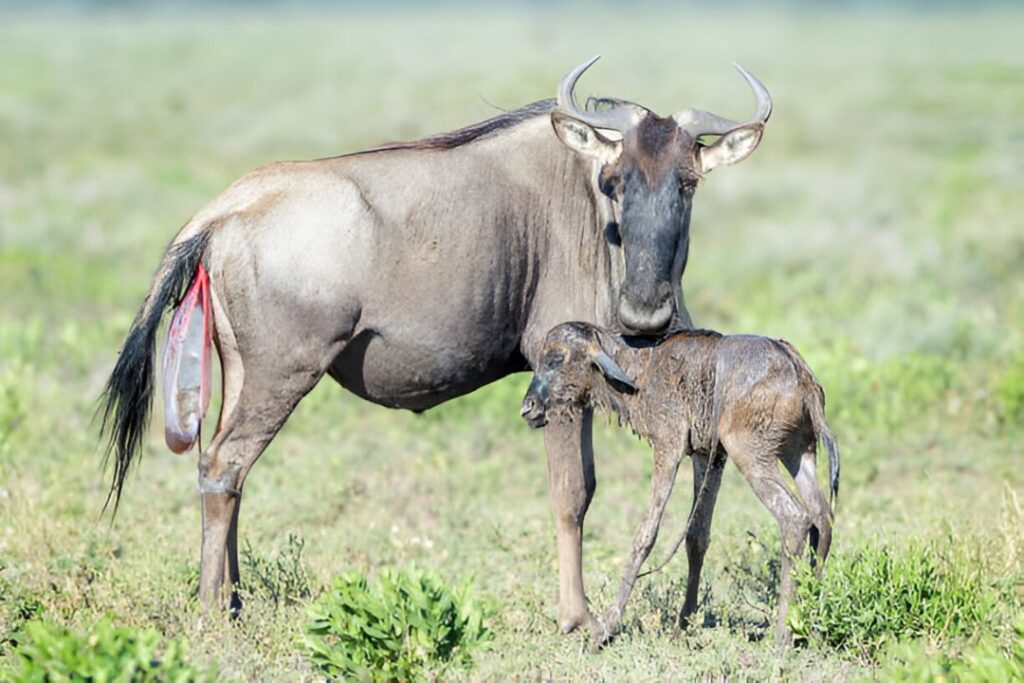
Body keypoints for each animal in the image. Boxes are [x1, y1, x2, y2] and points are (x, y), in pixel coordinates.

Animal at [520, 321, 839, 647]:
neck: (639, 369)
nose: (527, 408)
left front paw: (605, 630)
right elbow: (696, 535)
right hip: (799, 452)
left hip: (752, 454)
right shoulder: (709, 455)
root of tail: (796, 368)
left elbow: (645, 535)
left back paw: (783, 636)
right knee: (821, 517)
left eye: (555, 358)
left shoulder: (668, 448)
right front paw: (683, 624)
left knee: (794, 519)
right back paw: (811, 625)